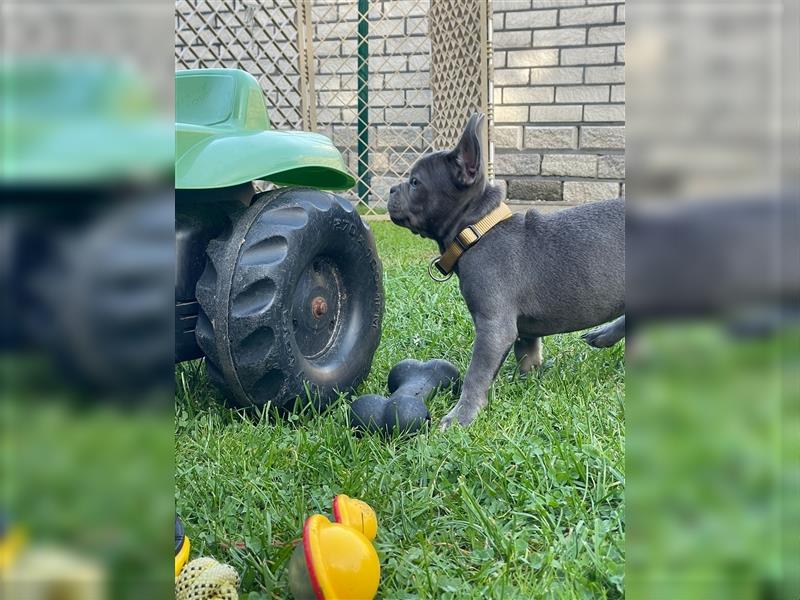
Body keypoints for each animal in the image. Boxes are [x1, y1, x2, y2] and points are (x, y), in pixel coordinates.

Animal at [388, 113, 624, 432]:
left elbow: (476, 374)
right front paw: (528, 379)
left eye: (415, 183)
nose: (391, 189)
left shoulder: (493, 327)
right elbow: (527, 352)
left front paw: (462, 414)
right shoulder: (522, 329)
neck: (477, 231)